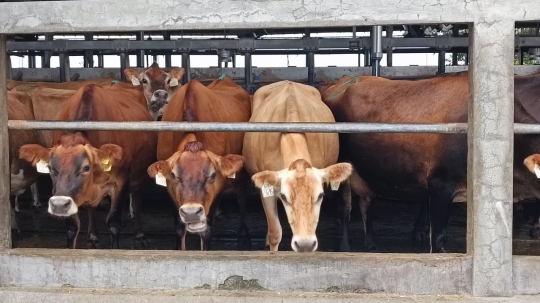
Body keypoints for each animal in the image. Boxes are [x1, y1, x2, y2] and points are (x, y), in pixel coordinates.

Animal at [17, 84, 156, 251]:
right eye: (50, 167)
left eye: (86, 167)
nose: (58, 204)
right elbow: (72, 228)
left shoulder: (121, 182)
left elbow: (114, 224)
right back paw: (93, 237)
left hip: (139, 177)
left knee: (136, 200)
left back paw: (139, 235)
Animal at [146, 76, 251, 252]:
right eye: (174, 175)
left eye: (212, 175)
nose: (191, 212)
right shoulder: (169, 188)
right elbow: (179, 228)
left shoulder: (220, 184)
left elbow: (206, 230)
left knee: (242, 198)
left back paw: (243, 233)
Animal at [320, 73, 540, 254]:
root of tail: (339, 83)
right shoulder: (440, 186)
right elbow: (438, 238)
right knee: (346, 209)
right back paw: (345, 247)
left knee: (366, 204)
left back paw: (372, 244)